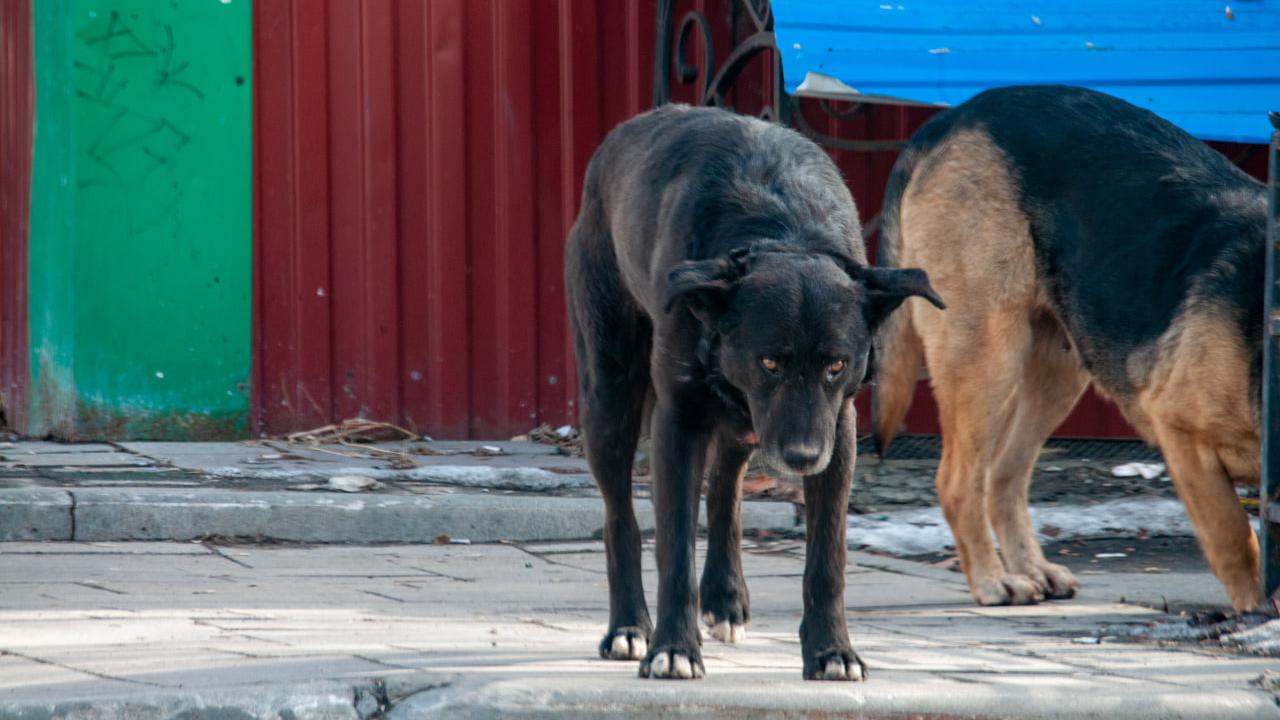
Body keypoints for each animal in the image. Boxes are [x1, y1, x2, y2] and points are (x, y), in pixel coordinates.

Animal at [565, 105, 947, 676]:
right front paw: (673, 649)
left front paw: (832, 651)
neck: (783, 230)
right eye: (770, 361)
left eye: (836, 365)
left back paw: (724, 598)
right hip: (610, 395)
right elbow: (675, 549)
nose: (802, 457)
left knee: (725, 490)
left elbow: (827, 558)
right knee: (621, 519)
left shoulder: (838, 429)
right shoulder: (679, 421)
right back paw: (630, 627)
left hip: (745, 425)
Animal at [875, 85, 1264, 609]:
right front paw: (1258, 610)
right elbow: (1236, 538)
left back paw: (1030, 568)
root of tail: (953, 117)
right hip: (988, 353)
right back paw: (993, 581)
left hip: (1057, 369)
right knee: (959, 482)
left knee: (1002, 476)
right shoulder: (1182, 432)